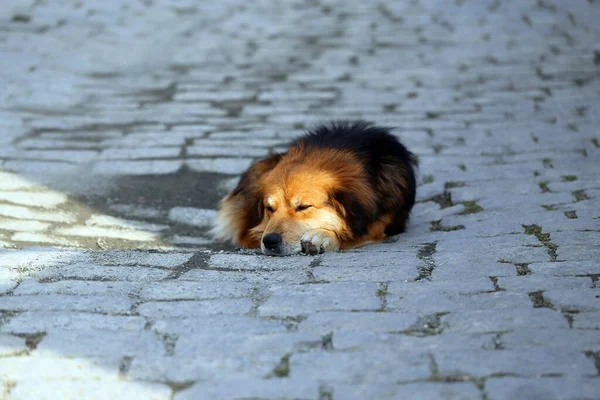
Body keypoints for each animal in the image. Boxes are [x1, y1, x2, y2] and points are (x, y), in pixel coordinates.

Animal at [211, 119, 418, 256]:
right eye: (269, 208)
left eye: (303, 207)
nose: (269, 241)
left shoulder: (378, 222)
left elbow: (350, 234)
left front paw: (323, 236)